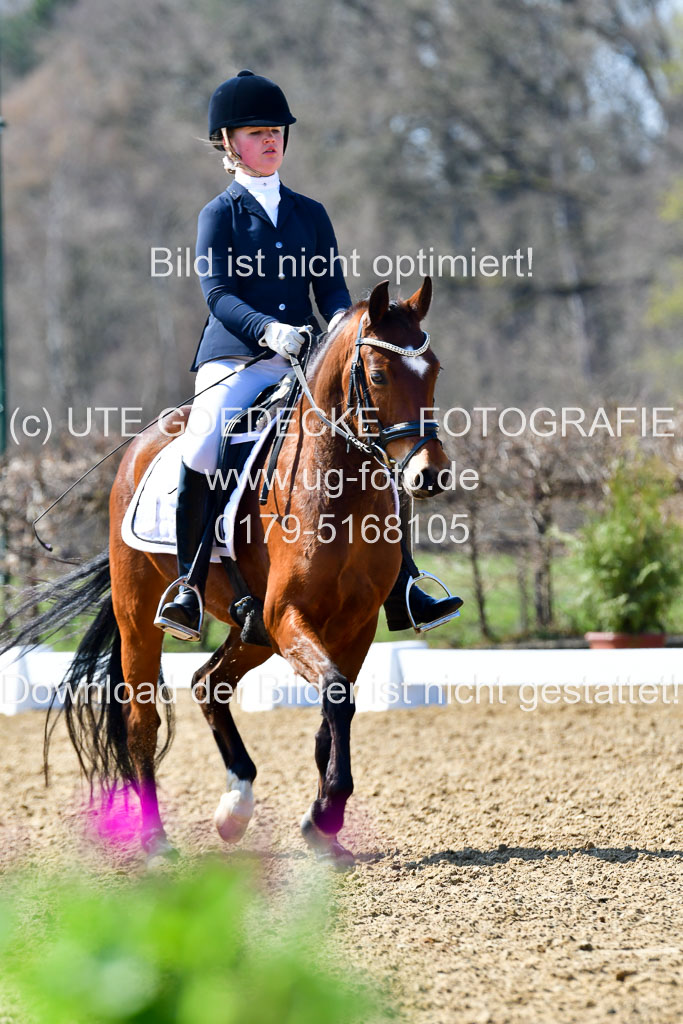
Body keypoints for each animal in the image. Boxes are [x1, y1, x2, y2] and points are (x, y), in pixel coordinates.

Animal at [5, 278, 454, 864]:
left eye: (435, 370)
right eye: (378, 375)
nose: (430, 474)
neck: (338, 485)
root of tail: (139, 451)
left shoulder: (353, 625)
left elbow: (333, 712)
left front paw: (321, 827)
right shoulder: (289, 616)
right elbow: (335, 696)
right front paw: (326, 814)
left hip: (254, 629)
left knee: (207, 682)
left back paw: (235, 807)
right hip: (143, 617)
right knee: (143, 721)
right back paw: (156, 841)